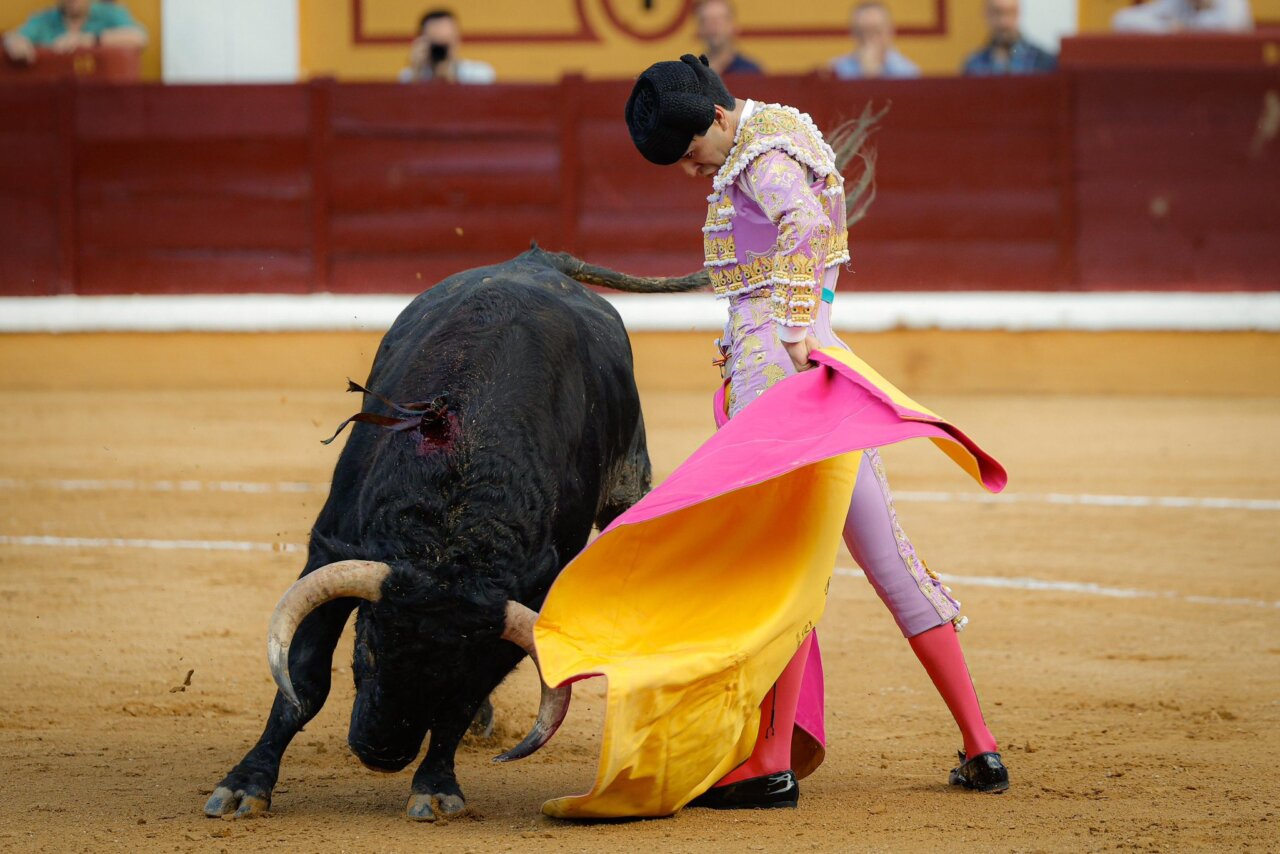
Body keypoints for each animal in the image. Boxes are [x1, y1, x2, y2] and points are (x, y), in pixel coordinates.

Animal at [202, 246, 706, 822]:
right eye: (367, 646)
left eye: (454, 669)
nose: (380, 754)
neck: (453, 517)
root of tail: (539, 259)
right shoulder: (333, 546)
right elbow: (304, 678)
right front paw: (245, 785)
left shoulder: (514, 610)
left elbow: (458, 706)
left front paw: (435, 786)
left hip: (629, 480)